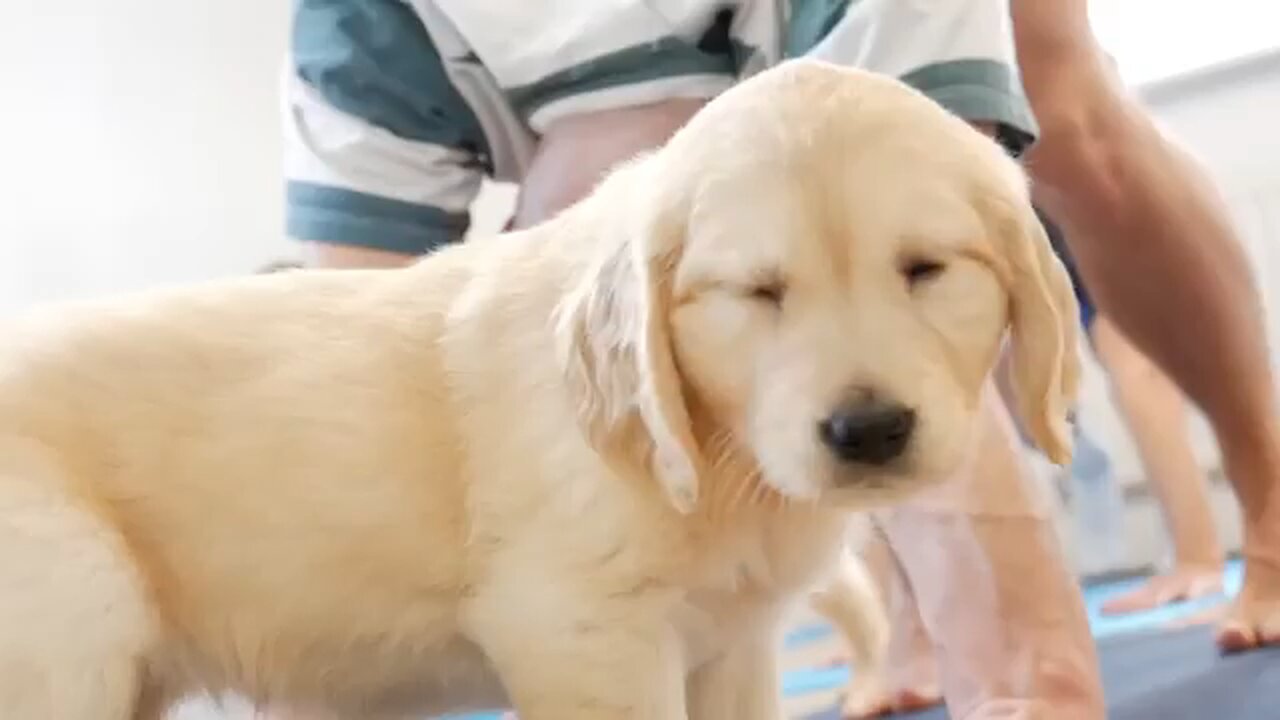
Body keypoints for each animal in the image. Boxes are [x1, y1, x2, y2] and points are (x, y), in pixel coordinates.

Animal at [0, 57, 1080, 717]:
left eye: (925, 269)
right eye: (758, 293)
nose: (868, 430)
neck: (707, 456)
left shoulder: (731, 646)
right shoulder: (581, 631)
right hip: (68, 637)